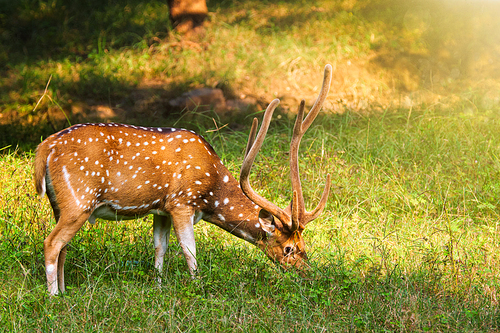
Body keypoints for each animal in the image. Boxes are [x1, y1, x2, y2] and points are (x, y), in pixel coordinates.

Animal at [34, 63, 332, 294]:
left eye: (304, 246)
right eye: (289, 249)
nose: (308, 273)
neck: (212, 193)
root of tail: (44, 148)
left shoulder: (161, 210)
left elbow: (159, 249)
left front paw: (158, 288)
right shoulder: (181, 203)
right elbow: (190, 252)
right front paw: (198, 289)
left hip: (60, 204)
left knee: (62, 247)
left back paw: (65, 291)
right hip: (78, 200)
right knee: (52, 243)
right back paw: (54, 297)